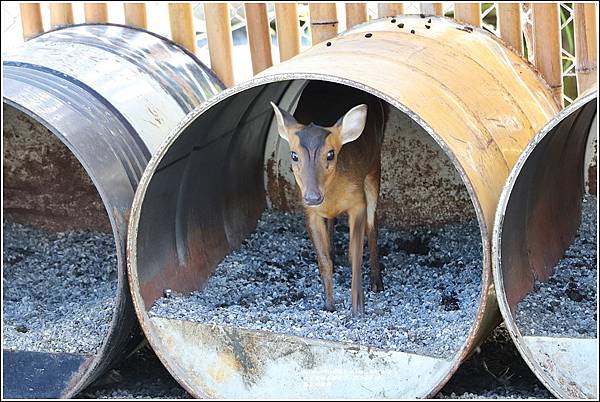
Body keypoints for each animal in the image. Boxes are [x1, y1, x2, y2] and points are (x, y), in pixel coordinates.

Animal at [270, 83, 386, 316]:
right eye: (294, 155)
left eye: (331, 154)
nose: (313, 196)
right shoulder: (310, 212)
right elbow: (323, 261)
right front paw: (329, 305)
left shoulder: (357, 202)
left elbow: (356, 254)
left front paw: (358, 308)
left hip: (374, 167)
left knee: (372, 225)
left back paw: (377, 282)